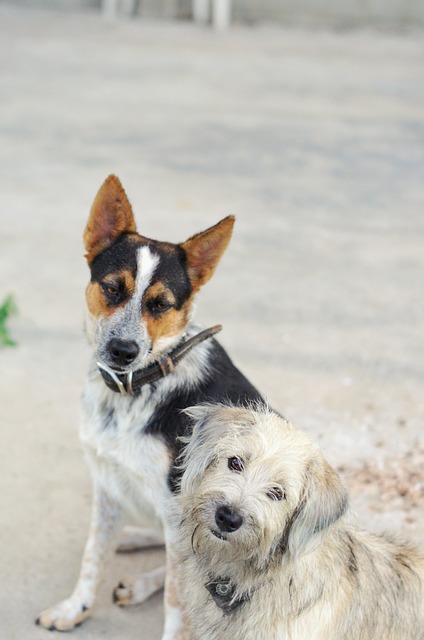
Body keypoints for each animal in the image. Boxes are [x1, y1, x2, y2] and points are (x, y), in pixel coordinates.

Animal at [35, 175, 262, 640]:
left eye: (160, 304)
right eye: (112, 288)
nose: (123, 350)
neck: (133, 389)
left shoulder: (178, 508)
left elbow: (178, 599)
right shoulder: (106, 482)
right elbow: (92, 556)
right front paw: (74, 608)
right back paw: (133, 538)